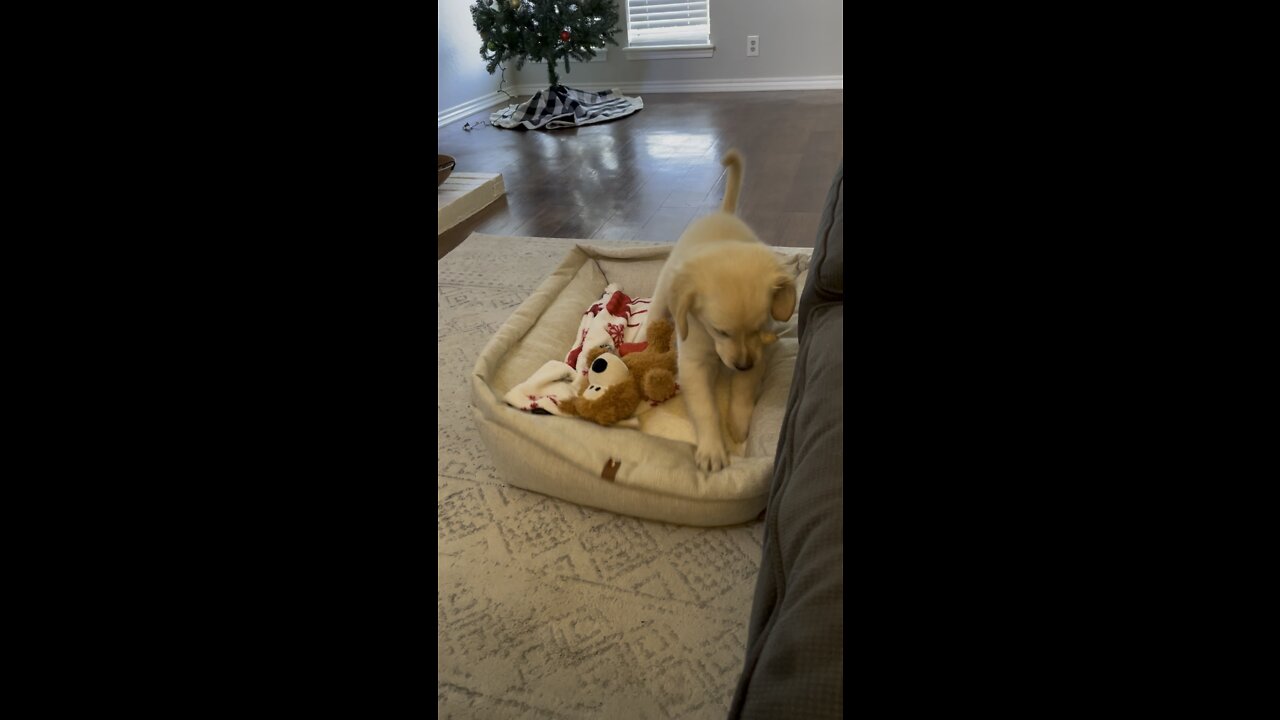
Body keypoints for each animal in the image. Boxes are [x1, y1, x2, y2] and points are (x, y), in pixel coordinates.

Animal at [655, 148, 793, 471]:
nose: (741, 365)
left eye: (759, 328)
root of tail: (724, 213)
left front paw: (739, 425)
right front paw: (712, 450)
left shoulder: (757, 354)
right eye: (720, 331)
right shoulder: (692, 363)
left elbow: (743, 391)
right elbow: (706, 409)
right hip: (663, 289)